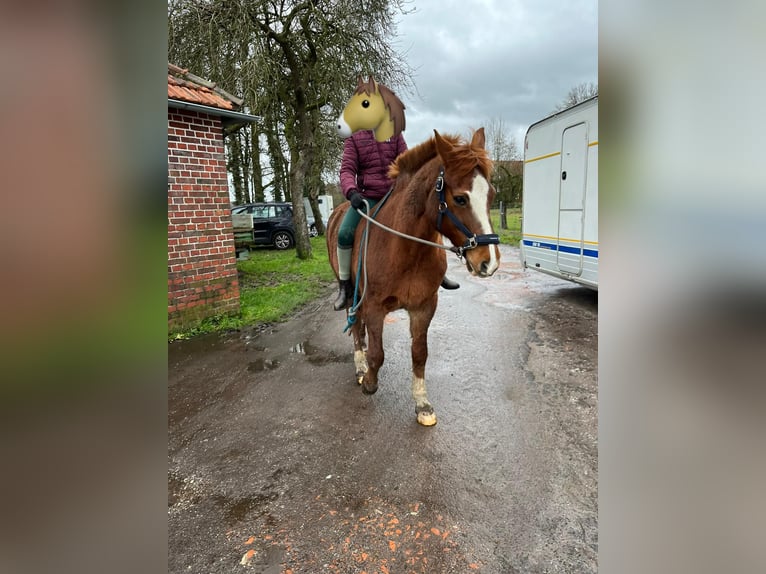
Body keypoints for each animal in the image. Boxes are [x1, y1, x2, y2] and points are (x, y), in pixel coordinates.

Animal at [328, 130, 504, 428]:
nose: (488, 262)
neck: (404, 249)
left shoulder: (424, 306)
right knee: (355, 325)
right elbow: (378, 353)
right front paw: (370, 382)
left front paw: (422, 404)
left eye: (490, 194)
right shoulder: (374, 306)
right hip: (353, 293)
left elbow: (420, 353)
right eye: (460, 199)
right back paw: (360, 366)